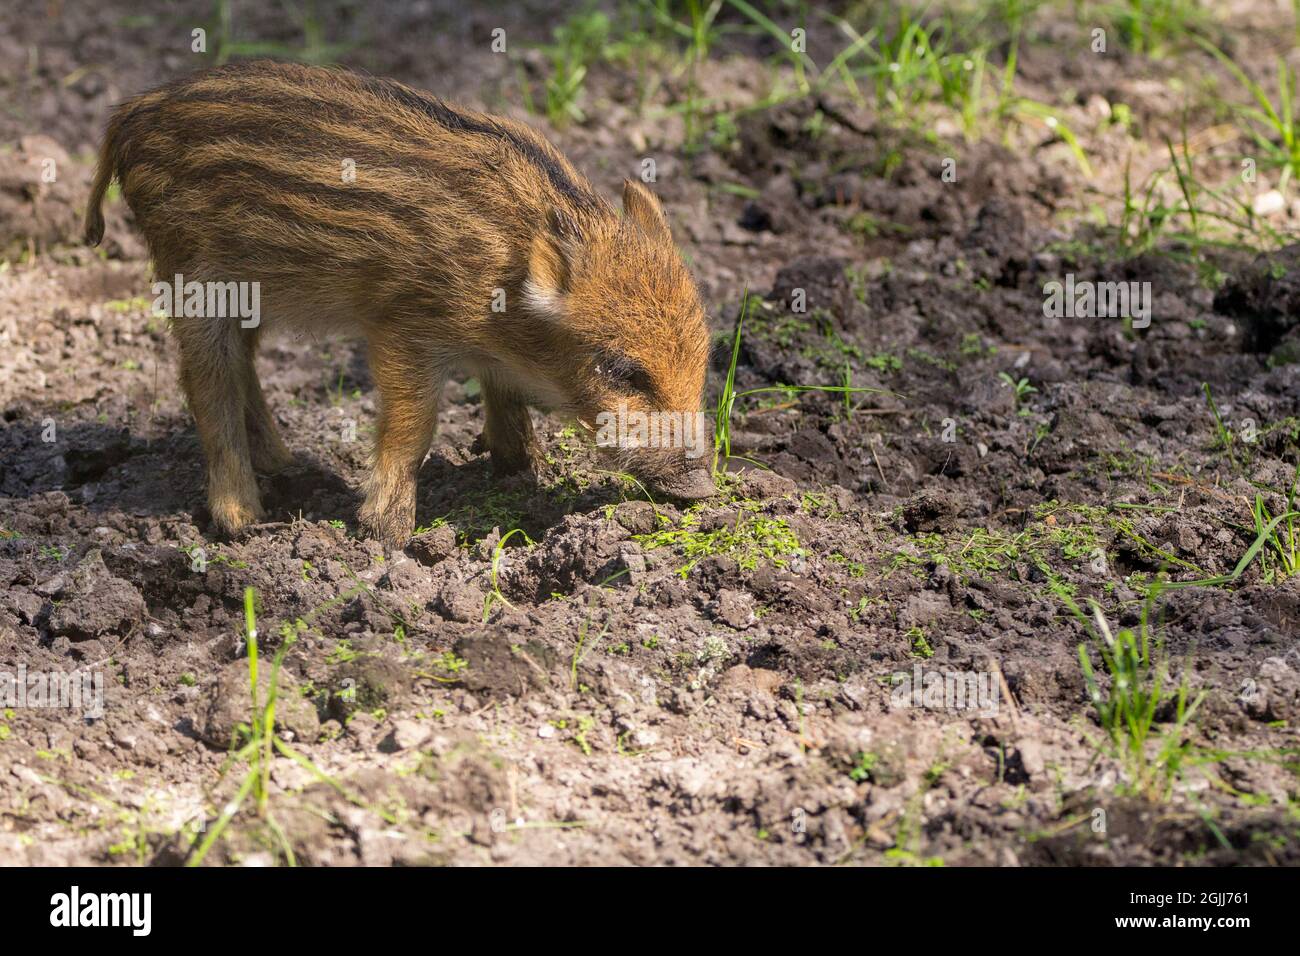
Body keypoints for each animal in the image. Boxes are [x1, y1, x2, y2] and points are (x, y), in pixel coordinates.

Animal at [84, 60, 715, 547]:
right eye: (622, 370)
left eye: (705, 361)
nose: (703, 491)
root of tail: (132, 111)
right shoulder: (403, 325)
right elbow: (414, 427)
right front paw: (386, 534)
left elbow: (506, 397)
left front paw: (521, 470)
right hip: (192, 275)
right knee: (206, 380)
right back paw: (244, 522)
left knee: (242, 363)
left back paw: (285, 464)